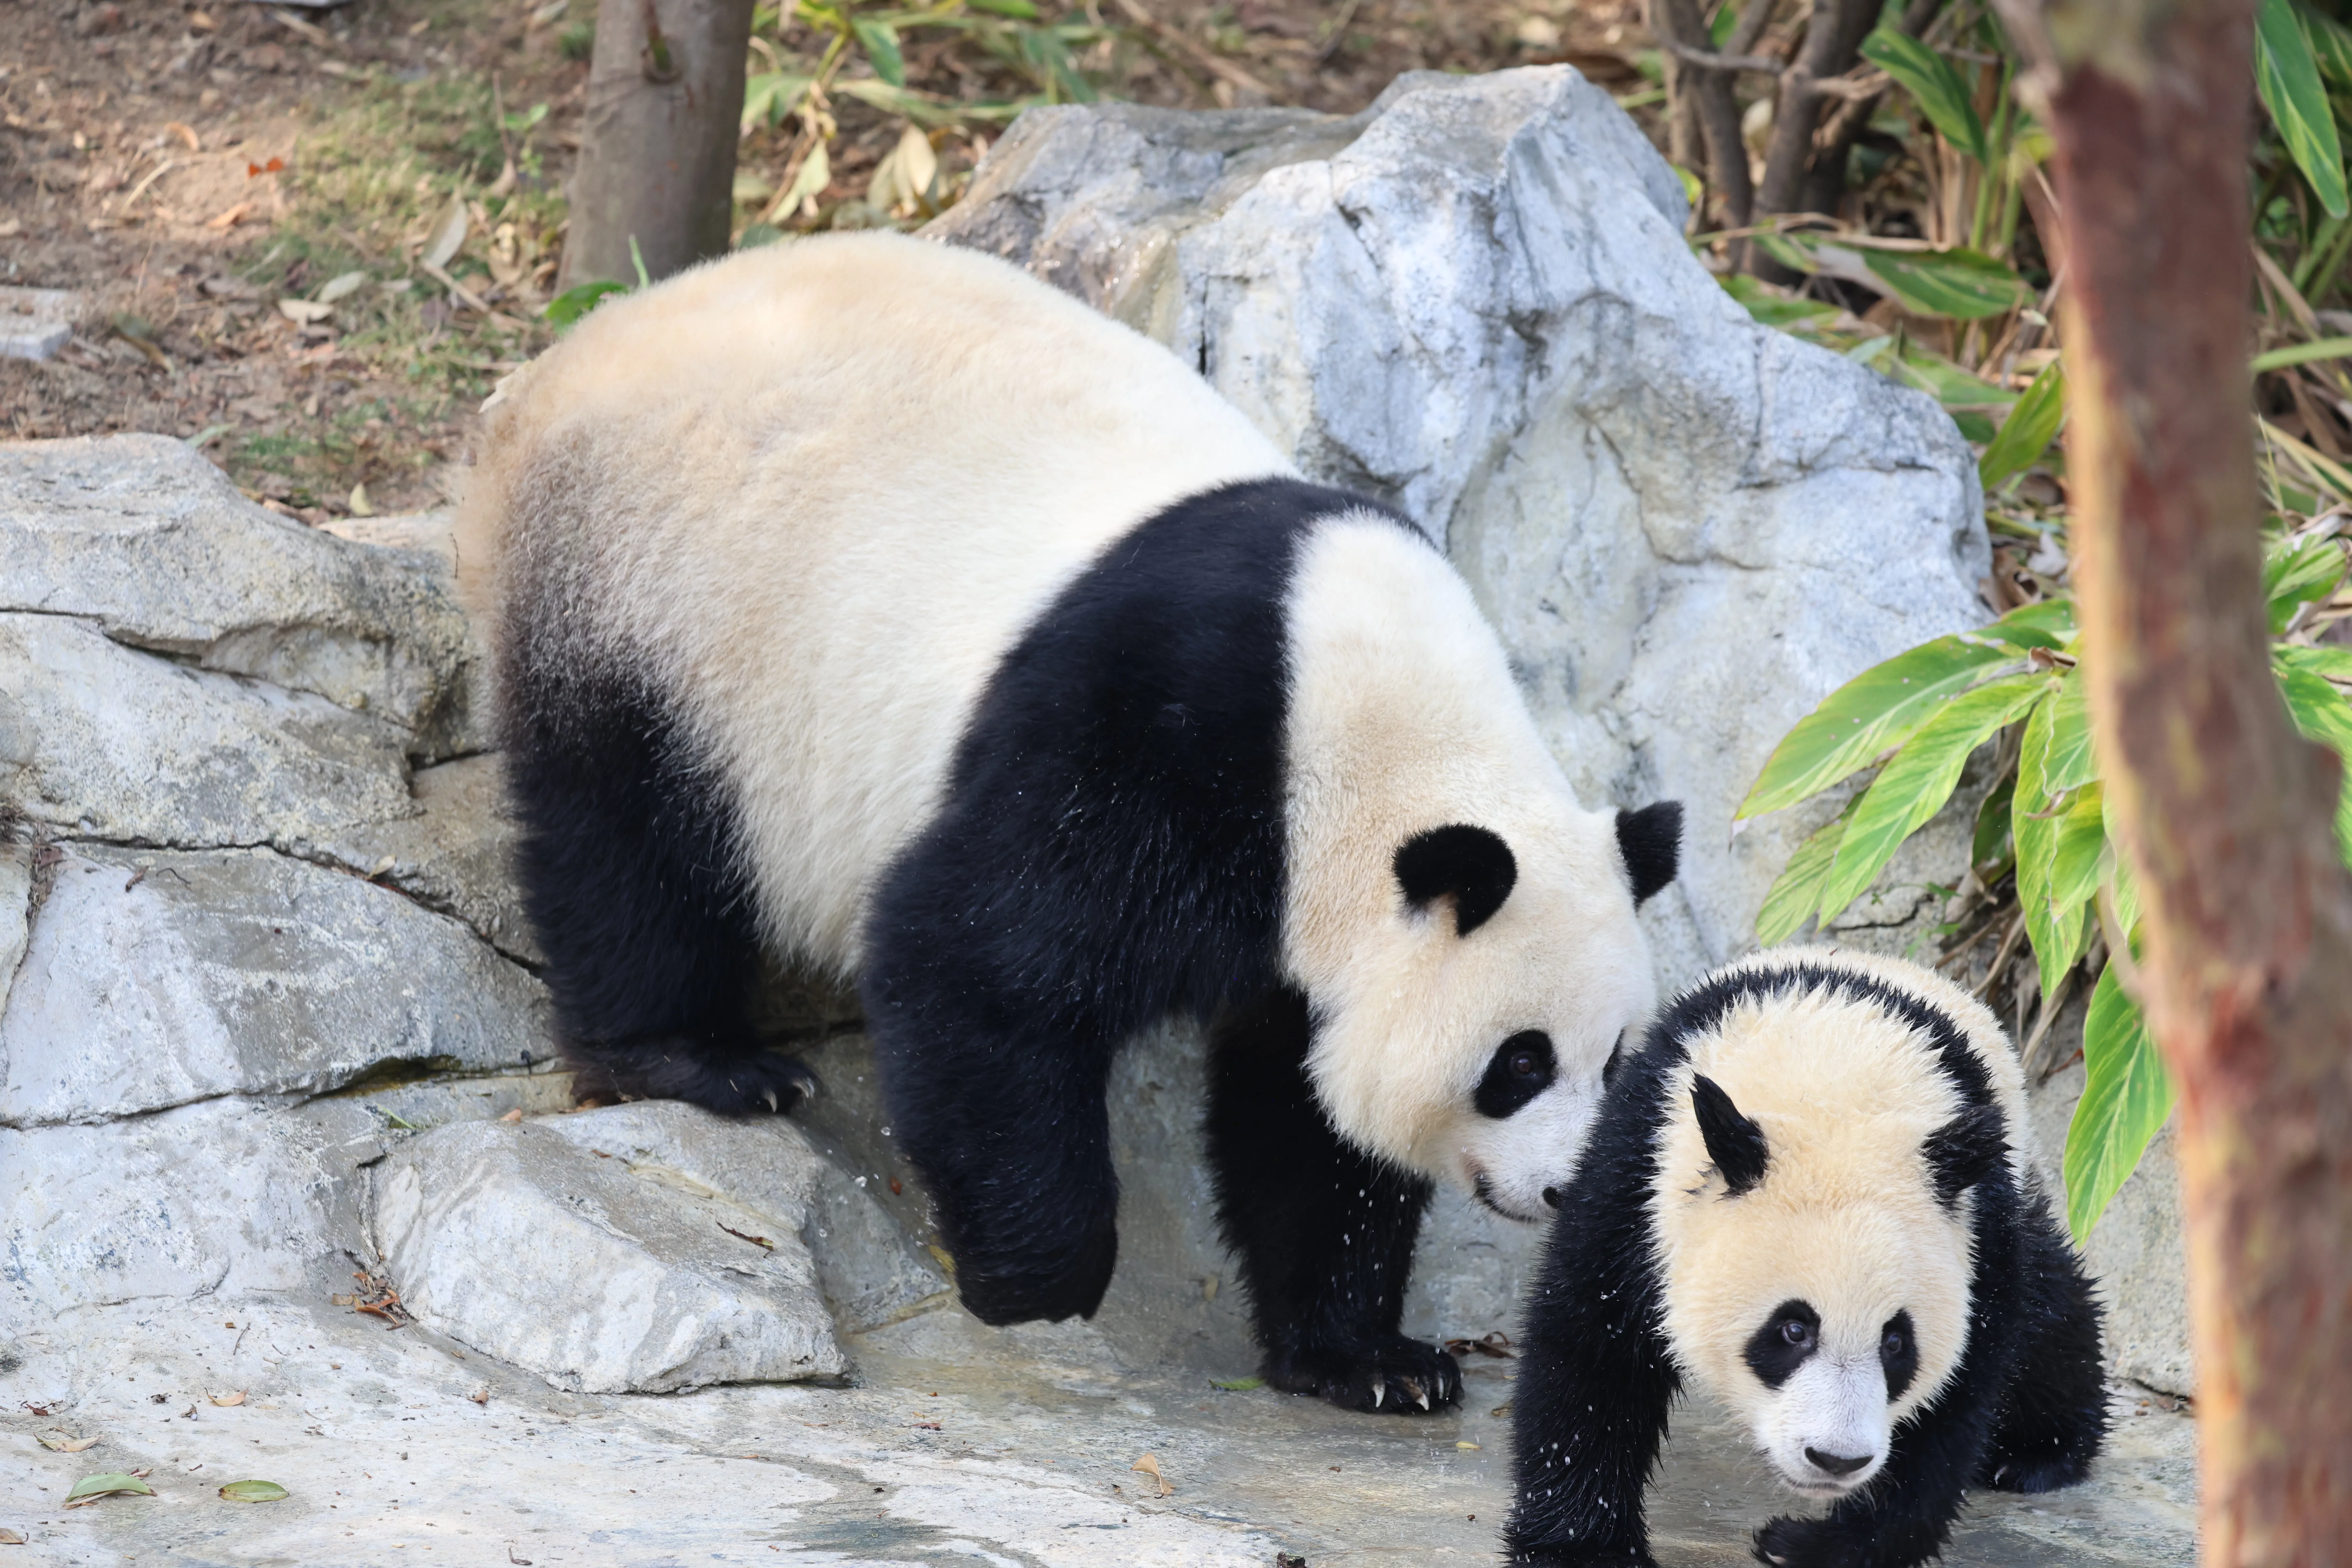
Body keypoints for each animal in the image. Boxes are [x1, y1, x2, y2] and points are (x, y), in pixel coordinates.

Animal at [455, 231, 1682, 1414]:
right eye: (1518, 1063)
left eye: (1619, 1057)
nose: (1560, 1188)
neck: (1372, 718)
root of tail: (547, 377)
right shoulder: (1164, 729)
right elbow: (976, 963)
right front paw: (1038, 1285)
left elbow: (1305, 1114)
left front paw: (1371, 1360)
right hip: (660, 595)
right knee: (628, 837)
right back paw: (696, 1062)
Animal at [1505, 948, 2106, 1566]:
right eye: (1793, 1330)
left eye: (1897, 1343)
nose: (1835, 1459)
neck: (1833, 1078)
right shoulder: (1640, 1170)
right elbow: (1592, 1355)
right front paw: (1585, 1548)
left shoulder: (1976, 1229)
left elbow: (1954, 1403)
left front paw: (1812, 1544)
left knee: (2047, 1304)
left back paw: (2039, 1453)